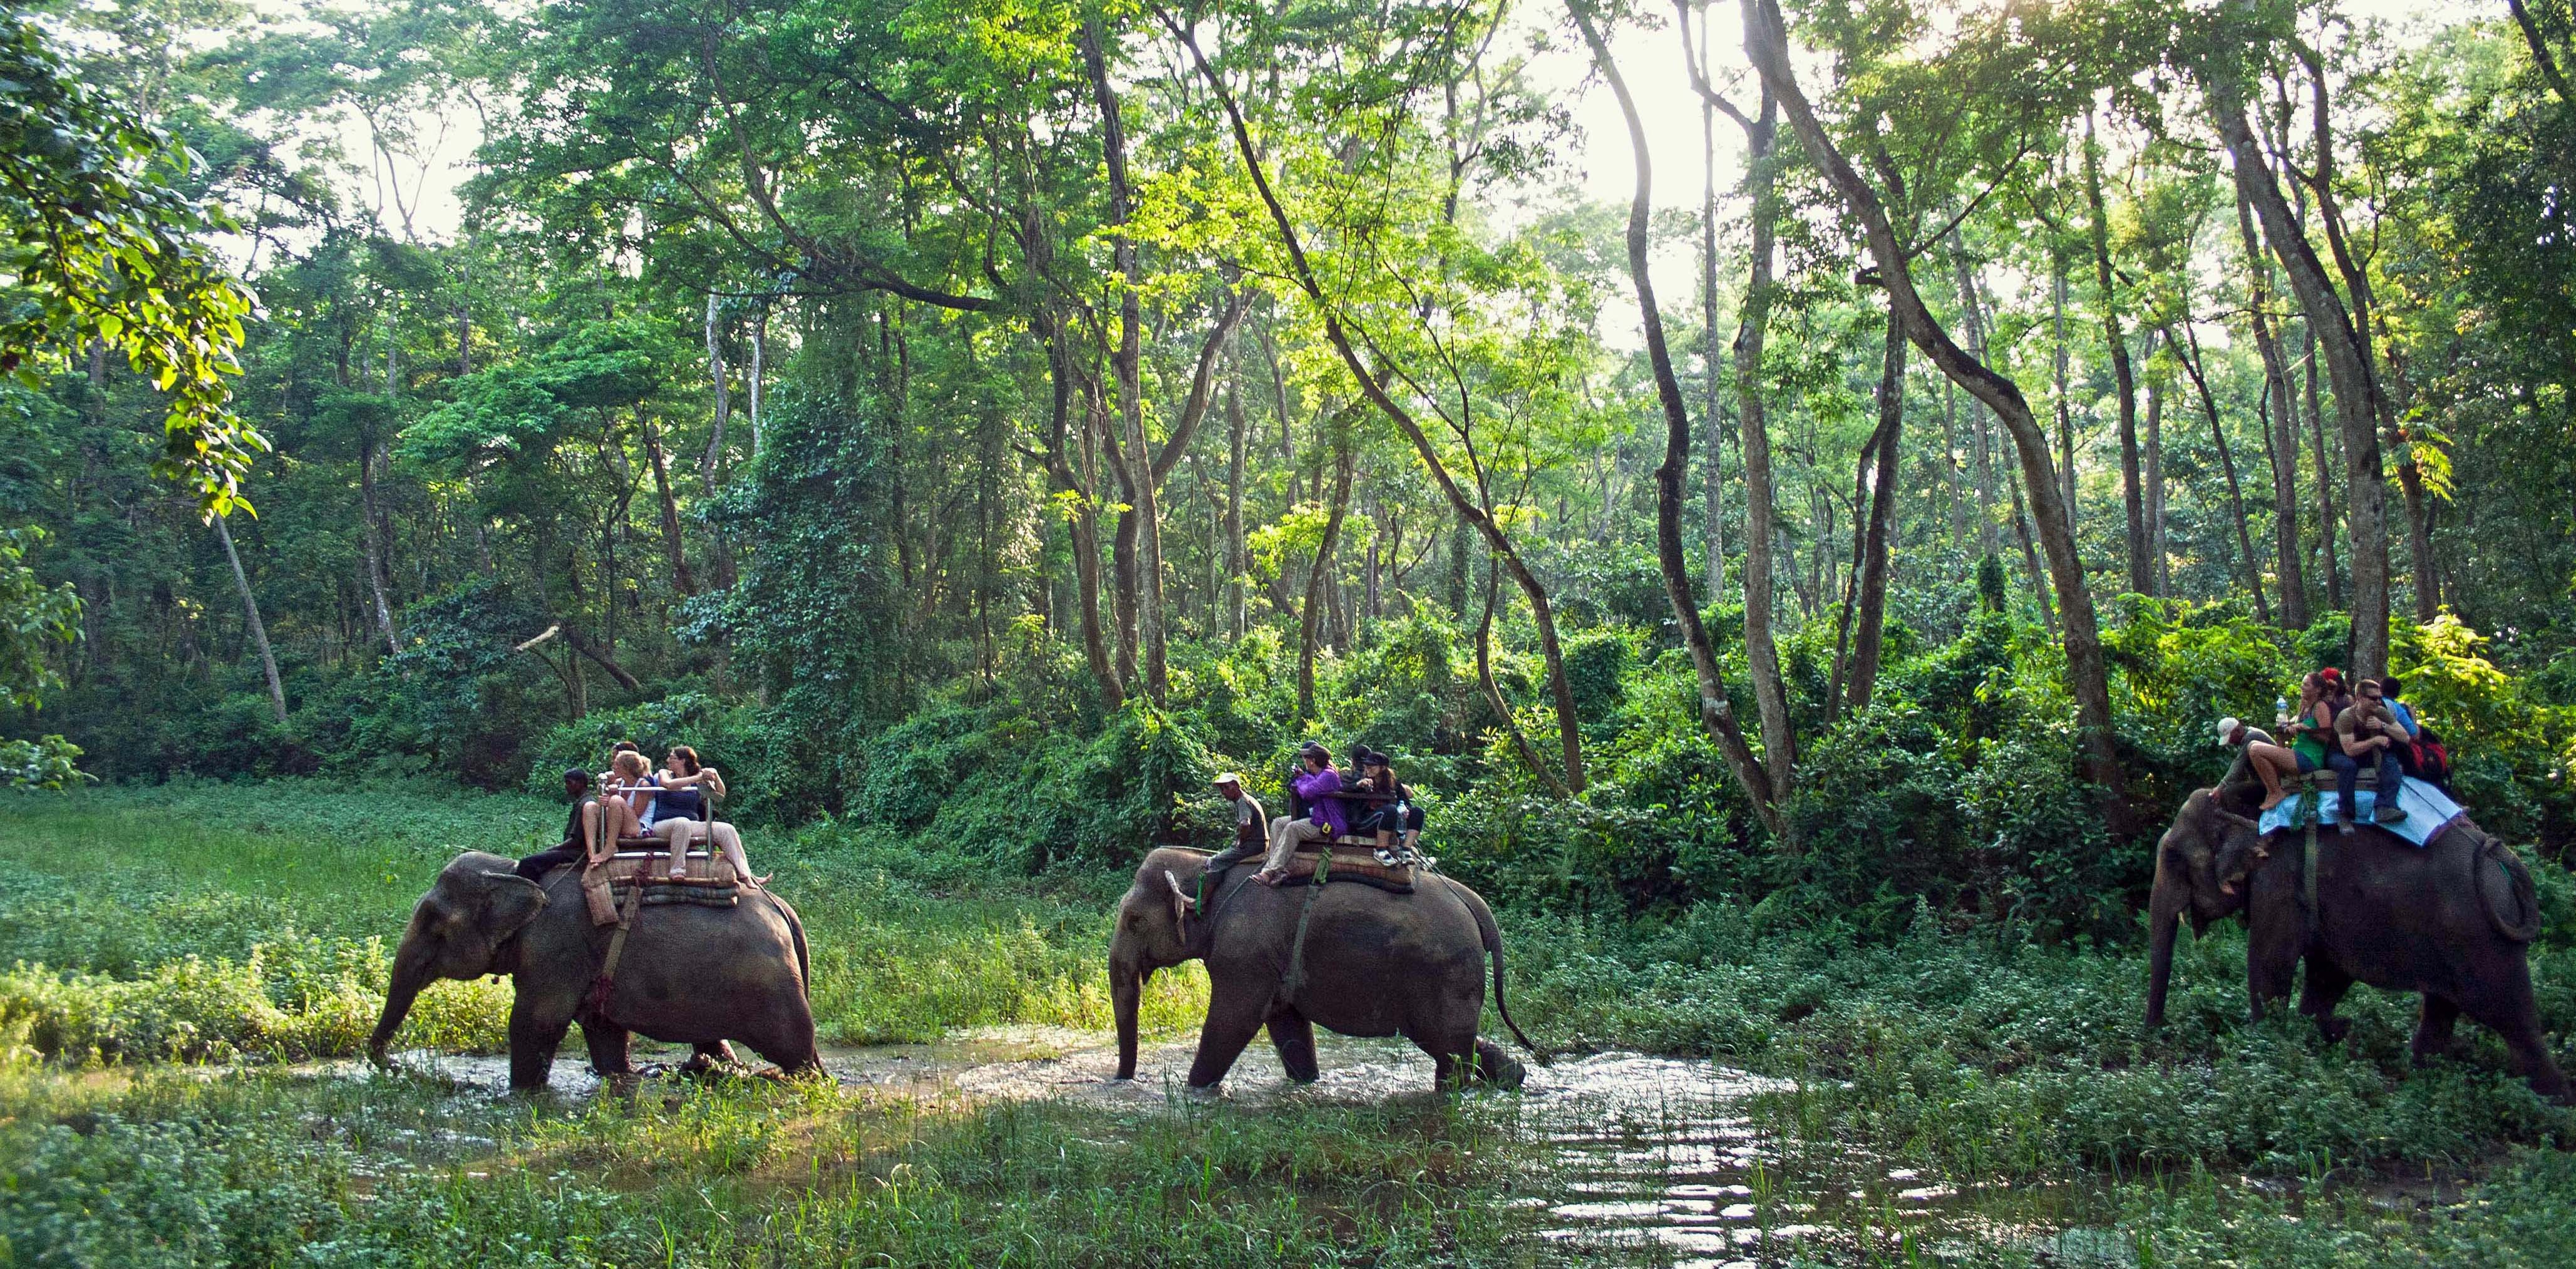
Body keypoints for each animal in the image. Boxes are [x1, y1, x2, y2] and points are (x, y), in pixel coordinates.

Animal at [366, 844, 814, 1081]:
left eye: (433, 923)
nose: (391, 1063)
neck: (512, 872)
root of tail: (783, 909)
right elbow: (604, 1032)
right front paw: (618, 1079)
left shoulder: (555, 948)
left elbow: (535, 1023)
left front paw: (523, 1094)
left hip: (771, 987)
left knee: (797, 1052)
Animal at [1102, 839, 1525, 1086]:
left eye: (1134, 920)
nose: (1121, 1080)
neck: (1206, 867)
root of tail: (1476, 906)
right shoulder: (1269, 958)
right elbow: (1285, 1021)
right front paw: (1307, 1083)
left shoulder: (1244, 953)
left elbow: (1234, 1019)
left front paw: (1194, 1090)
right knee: (1454, 1042)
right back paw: (1514, 1077)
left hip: (1445, 972)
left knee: (1446, 1046)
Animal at [2143, 782, 2565, 1096]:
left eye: (2174, 856)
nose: (2156, 1034)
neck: (2247, 809)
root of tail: (2504, 859)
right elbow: (2327, 973)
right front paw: (2329, 1033)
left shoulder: (2279, 882)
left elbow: (2270, 965)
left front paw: (2267, 1049)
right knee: (2442, 1008)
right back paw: (2419, 1080)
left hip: (2482, 940)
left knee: (2513, 1018)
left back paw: (2552, 1107)